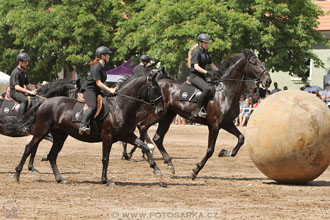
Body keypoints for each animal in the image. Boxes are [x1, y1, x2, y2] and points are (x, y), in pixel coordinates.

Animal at [9, 72, 164, 186]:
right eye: (155, 88)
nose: (161, 110)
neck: (120, 106)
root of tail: (44, 102)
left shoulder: (127, 135)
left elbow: (145, 146)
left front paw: (156, 168)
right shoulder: (107, 137)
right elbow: (105, 159)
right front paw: (105, 180)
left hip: (60, 136)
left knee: (52, 155)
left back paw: (60, 179)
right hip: (41, 131)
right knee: (29, 148)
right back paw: (16, 175)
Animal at [121, 49, 270, 179]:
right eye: (253, 62)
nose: (268, 81)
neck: (225, 93)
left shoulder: (227, 123)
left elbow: (241, 139)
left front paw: (225, 152)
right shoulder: (214, 125)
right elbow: (210, 150)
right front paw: (195, 170)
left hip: (167, 117)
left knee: (157, 137)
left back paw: (167, 163)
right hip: (158, 114)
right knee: (143, 127)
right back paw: (145, 152)